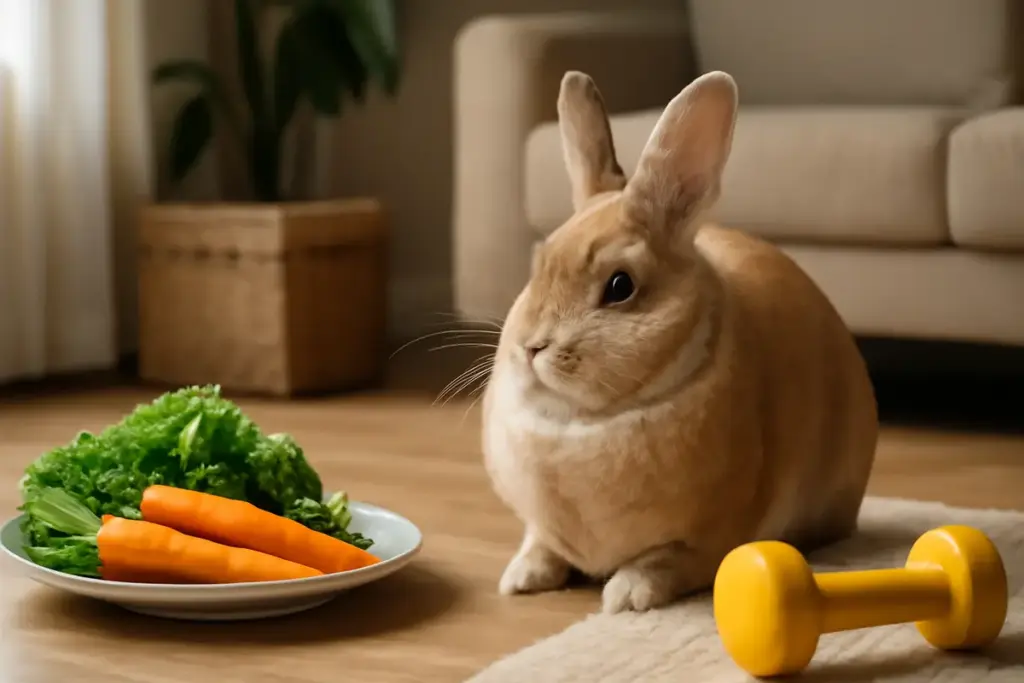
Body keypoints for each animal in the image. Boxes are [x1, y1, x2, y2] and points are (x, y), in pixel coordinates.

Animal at [480, 69, 878, 614]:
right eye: (538, 267)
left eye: (620, 286)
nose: (531, 348)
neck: (580, 423)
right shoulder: (540, 524)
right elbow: (541, 540)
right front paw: (521, 577)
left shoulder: (712, 539)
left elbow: (668, 561)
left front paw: (627, 595)